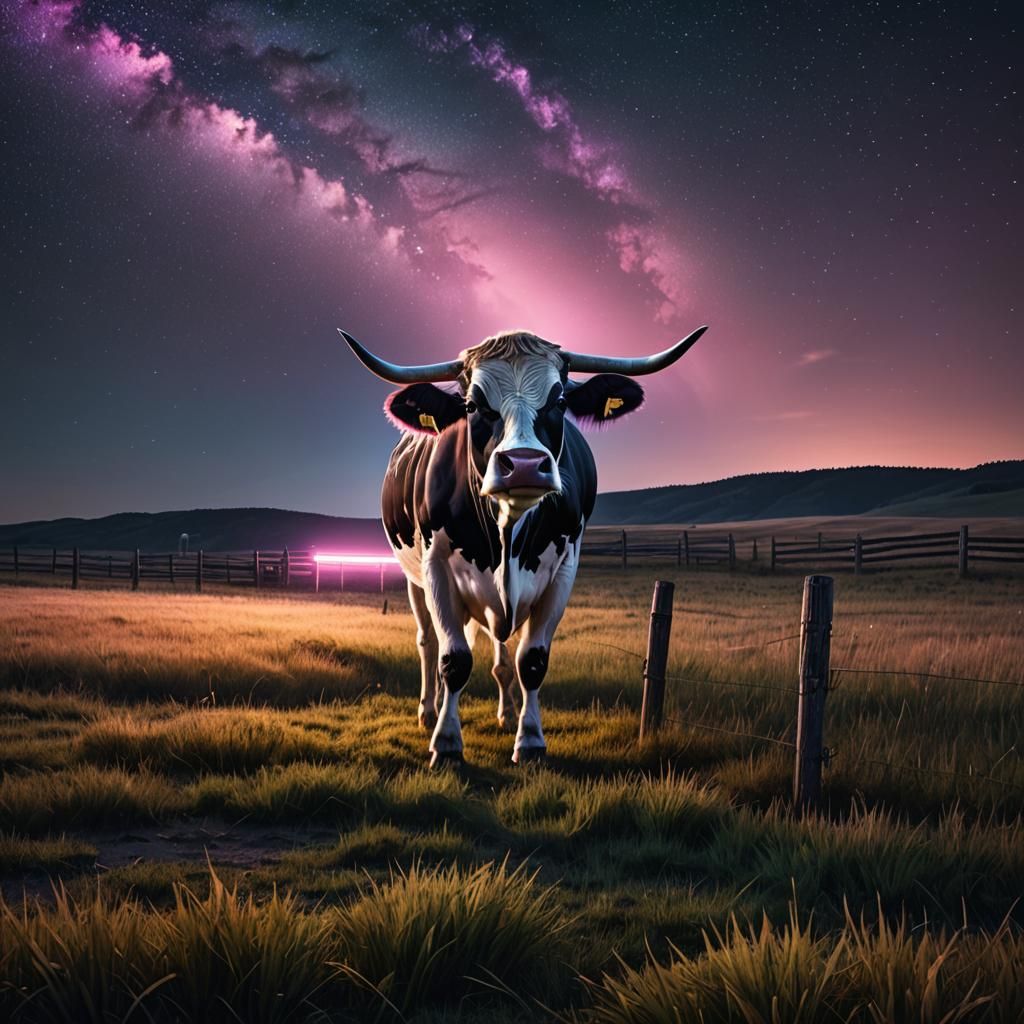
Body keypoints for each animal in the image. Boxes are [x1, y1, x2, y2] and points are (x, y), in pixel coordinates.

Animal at [340, 325, 708, 766]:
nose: (525, 464)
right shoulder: (436, 568)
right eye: (472, 404)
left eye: (560, 400)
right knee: (428, 642)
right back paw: (429, 711)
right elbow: (454, 659)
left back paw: (505, 712)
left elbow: (531, 659)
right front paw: (446, 743)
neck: (506, 531)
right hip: (414, 581)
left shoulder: (563, 571)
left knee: (499, 654)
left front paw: (529, 739)